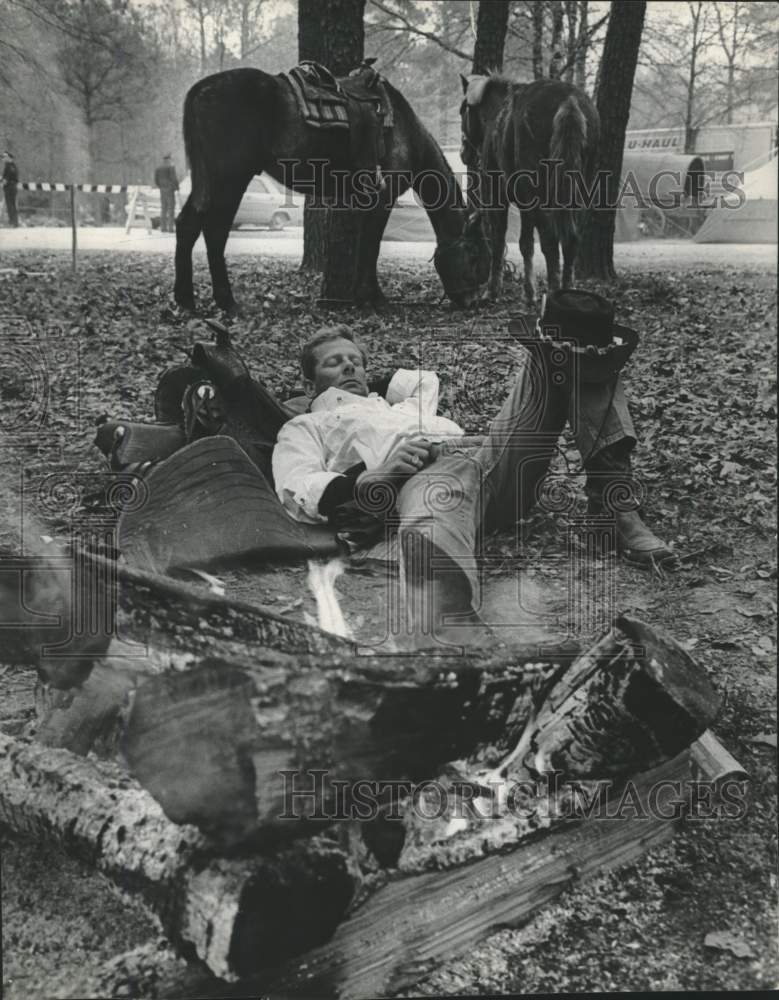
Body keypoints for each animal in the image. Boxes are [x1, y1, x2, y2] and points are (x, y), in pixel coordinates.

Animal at [178, 65, 494, 312]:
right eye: (474, 256)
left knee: (188, 223)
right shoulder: (384, 196)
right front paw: (372, 298)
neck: (406, 132)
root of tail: (199, 90)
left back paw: (186, 301)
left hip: (209, 180)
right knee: (215, 230)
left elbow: (363, 244)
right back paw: (225, 301)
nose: (474, 302)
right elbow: (371, 246)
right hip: (230, 178)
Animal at [460, 73, 600, 304]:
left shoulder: (498, 196)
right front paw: (529, 290)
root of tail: (569, 100)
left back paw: (553, 292)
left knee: (550, 241)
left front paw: (495, 290)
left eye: (463, 110)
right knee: (571, 239)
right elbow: (526, 243)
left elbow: (500, 240)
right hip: (580, 194)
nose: (464, 153)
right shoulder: (525, 202)